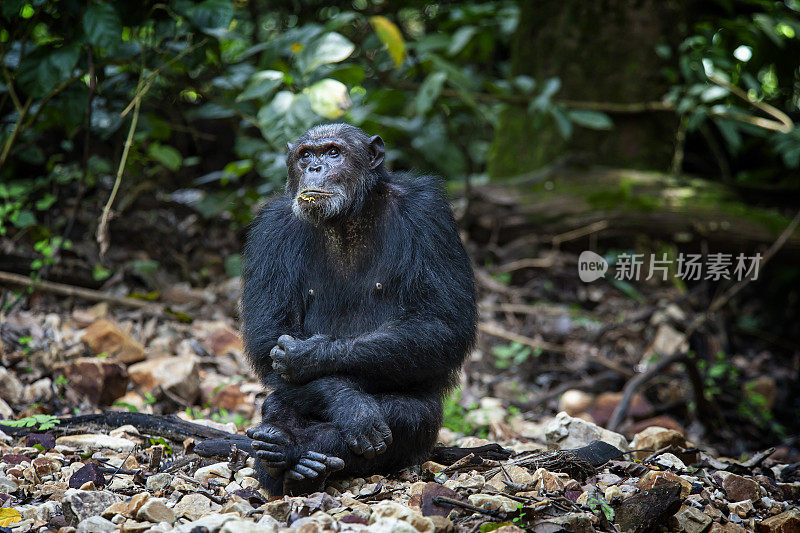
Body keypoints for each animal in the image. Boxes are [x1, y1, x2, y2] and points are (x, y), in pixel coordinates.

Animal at [239, 121, 476, 494]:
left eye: (333, 152)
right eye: (305, 155)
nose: (314, 168)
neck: (347, 218)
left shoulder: (429, 215)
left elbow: (441, 323)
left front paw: (309, 357)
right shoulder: (270, 231)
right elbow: (269, 333)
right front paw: (348, 403)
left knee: (409, 413)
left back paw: (295, 454)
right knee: (279, 399)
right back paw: (281, 456)